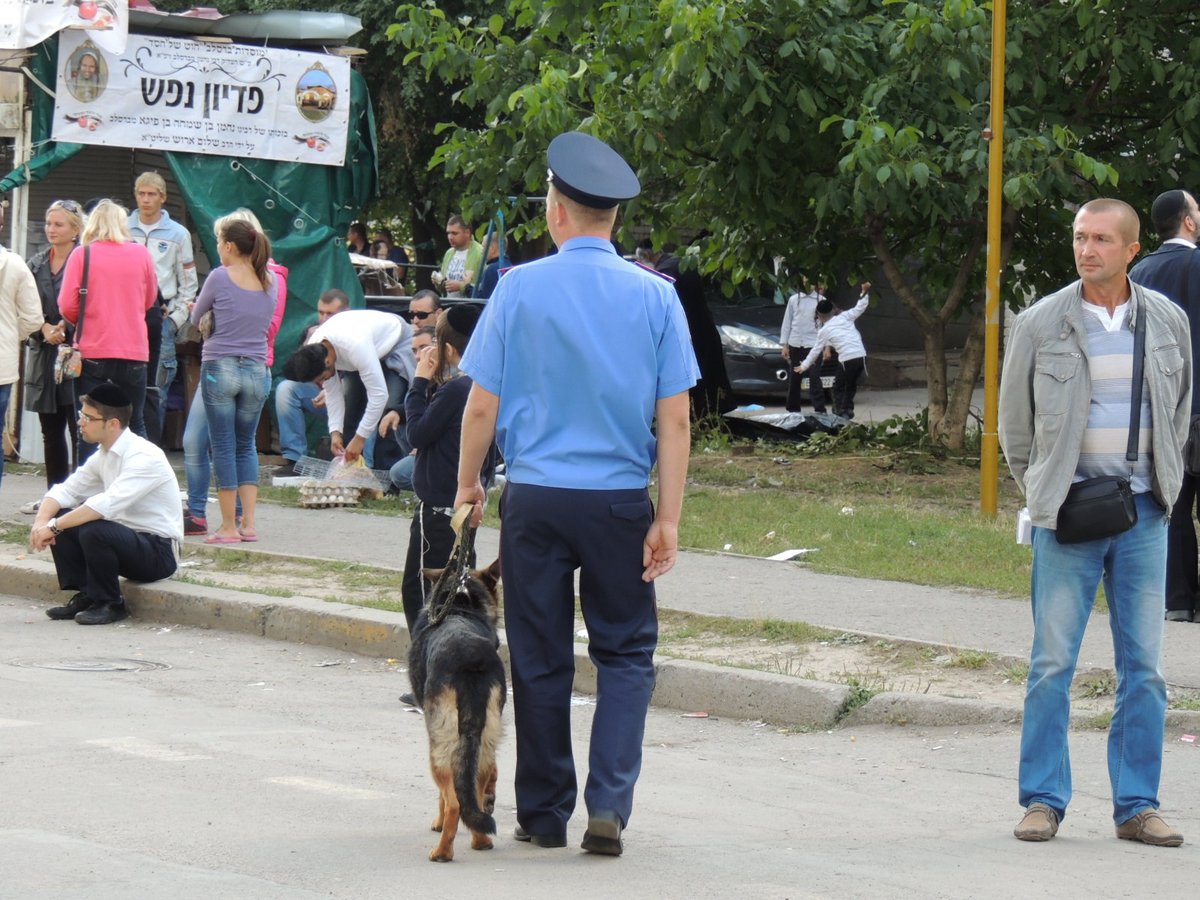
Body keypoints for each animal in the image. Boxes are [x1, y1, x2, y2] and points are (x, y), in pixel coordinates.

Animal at [405, 561, 504, 864]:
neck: (459, 605)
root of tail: (469, 657)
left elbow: (441, 797)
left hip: (441, 744)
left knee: (453, 802)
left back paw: (442, 852)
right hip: (484, 739)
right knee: (475, 791)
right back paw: (481, 840)